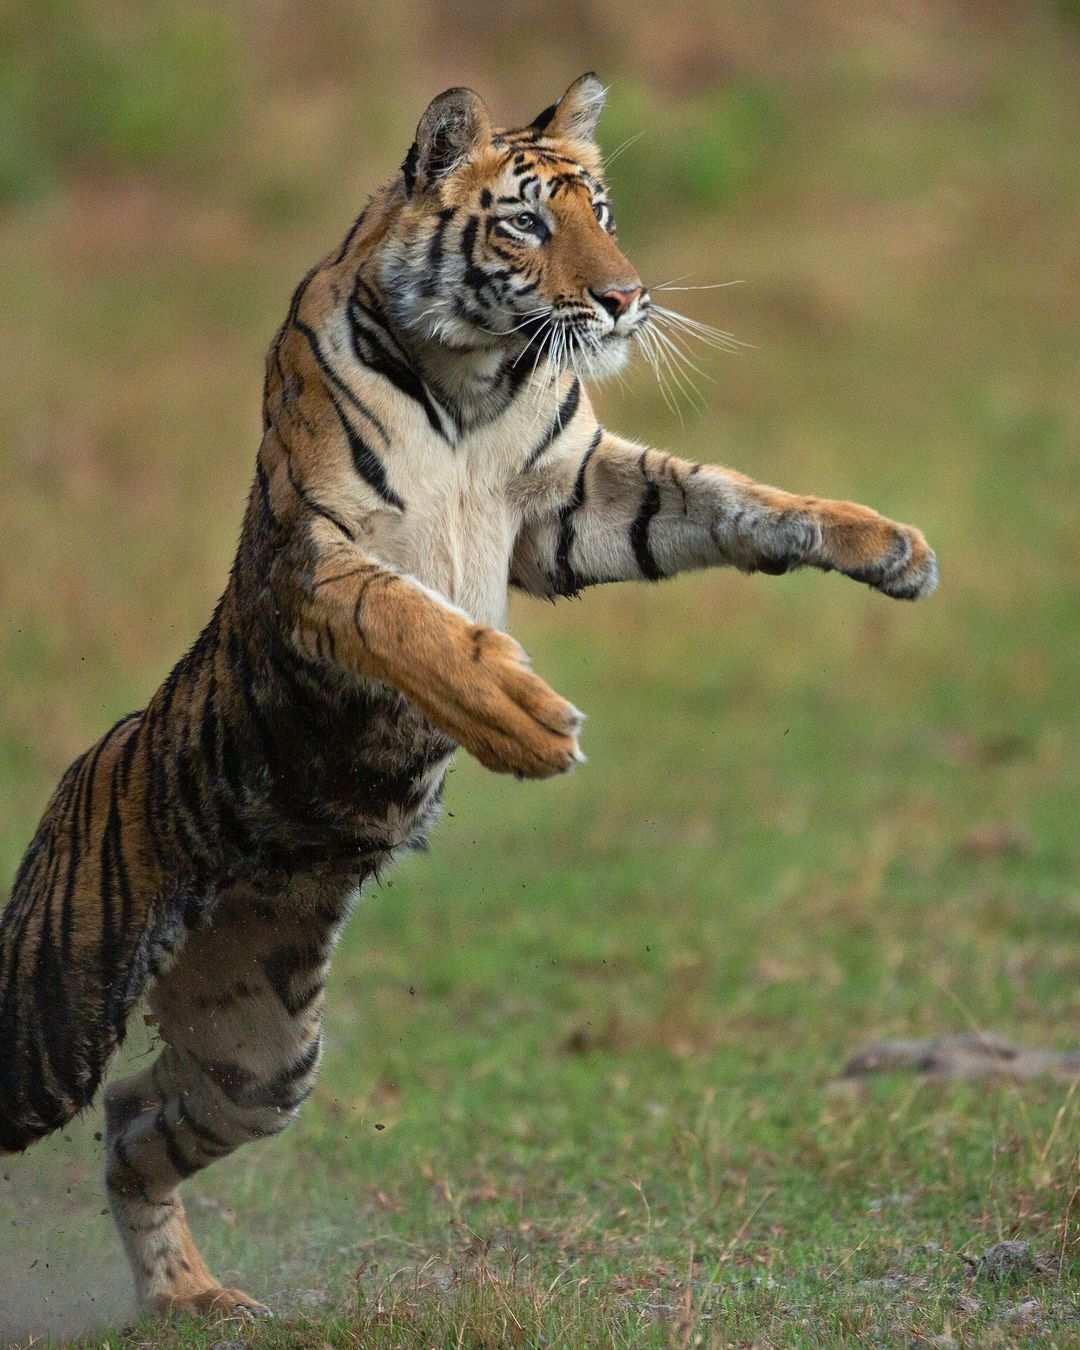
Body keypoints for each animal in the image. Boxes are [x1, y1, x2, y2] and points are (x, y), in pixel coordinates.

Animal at [0, 74, 937, 1320]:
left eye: (603, 212)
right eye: (527, 223)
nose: (627, 301)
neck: (475, 376)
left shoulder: (579, 503)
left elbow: (734, 497)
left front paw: (887, 546)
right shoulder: (319, 553)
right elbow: (411, 625)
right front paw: (527, 725)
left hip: (258, 1050)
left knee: (133, 1119)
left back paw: (189, 1299)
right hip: (52, 1018)